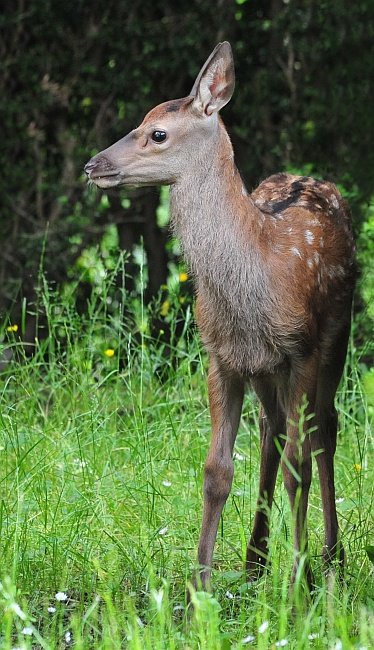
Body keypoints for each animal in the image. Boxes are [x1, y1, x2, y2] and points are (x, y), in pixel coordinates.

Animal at [84, 43, 356, 596]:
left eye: (157, 133)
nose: (92, 164)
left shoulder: (301, 348)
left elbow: (299, 465)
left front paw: (299, 584)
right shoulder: (221, 356)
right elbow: (216, 471)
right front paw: (199, 588)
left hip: (335, 336)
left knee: (324, 427)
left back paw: (330, 556)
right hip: (265, 369)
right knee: (273, 429)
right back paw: (255, 558)